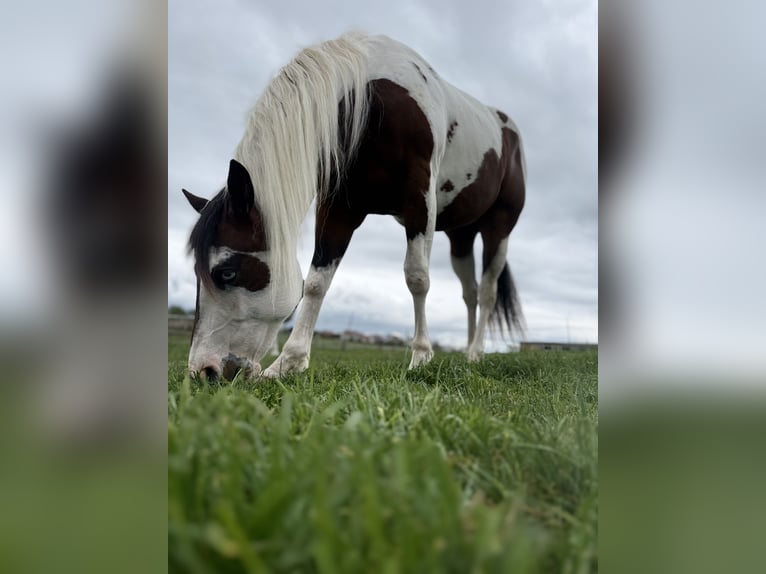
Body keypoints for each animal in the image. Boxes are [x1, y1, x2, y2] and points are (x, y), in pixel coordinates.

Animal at [181, 33, 526, 380]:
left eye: (226, 272)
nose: (204, 370)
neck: (372, 98)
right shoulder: (339, 208)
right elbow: (317, 282)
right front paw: (288, 362)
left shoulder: (420, 201)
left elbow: (417, 277)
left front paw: (420, 357)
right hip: (461, 236)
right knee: (470, 293)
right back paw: (469, 353)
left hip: (499, 228)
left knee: (487, 291)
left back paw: (476, 351)